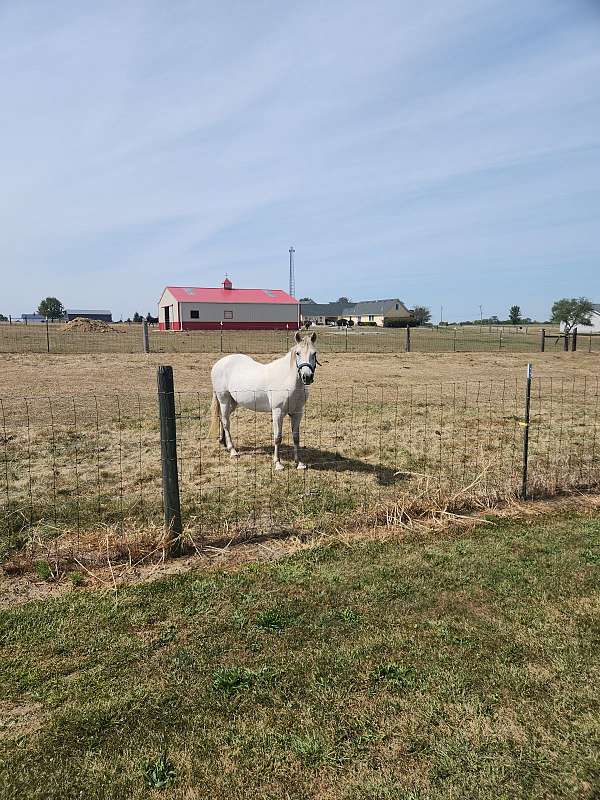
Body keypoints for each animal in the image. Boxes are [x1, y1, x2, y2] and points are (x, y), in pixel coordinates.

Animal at [211, 330, 318, 468]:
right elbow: (278, 437)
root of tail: (219, 363)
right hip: (223, 399)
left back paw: (223, 442)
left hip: (233, 402)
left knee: (223, 418)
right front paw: (278, 463)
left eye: (314, 353)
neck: (287, 380)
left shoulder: (297, 413)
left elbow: (296, 437)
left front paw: (299, 462)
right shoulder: (277, 412)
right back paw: (232, 450)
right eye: (298, 353)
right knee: (225, 421)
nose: (307, 377)